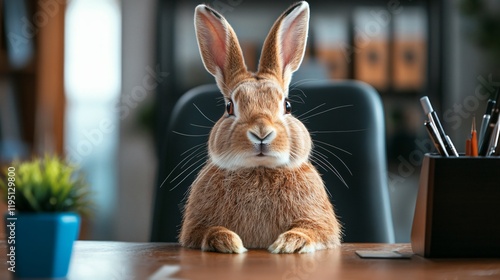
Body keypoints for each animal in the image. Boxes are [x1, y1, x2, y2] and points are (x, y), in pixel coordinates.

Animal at [178, 0, 342, 254]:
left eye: (287, 105)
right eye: (229, 107)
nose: (261, 133)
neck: (259, 170)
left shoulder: (320, 222)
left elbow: (313, 231)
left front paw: (287, 243)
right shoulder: (195, 227)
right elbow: (206, 231)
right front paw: (229, 242)